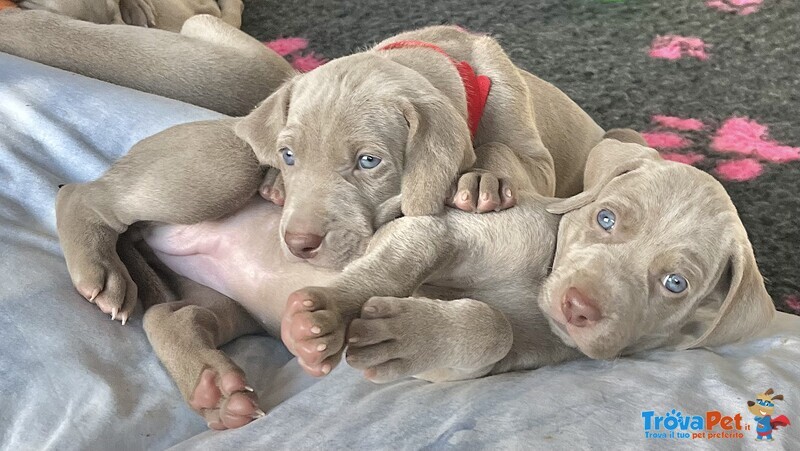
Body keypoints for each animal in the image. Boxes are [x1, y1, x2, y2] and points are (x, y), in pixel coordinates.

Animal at [133, 133, 776, 428]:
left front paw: (401, 337)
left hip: (224, 303)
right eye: (606, 218)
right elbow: (393, 264)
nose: (578, 306)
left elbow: (488, 331)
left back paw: (214, 385)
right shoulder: (436, 228)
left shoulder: (487, 366)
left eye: (676, 284)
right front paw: (327, 313)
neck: (541, 273)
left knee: (168, 314)